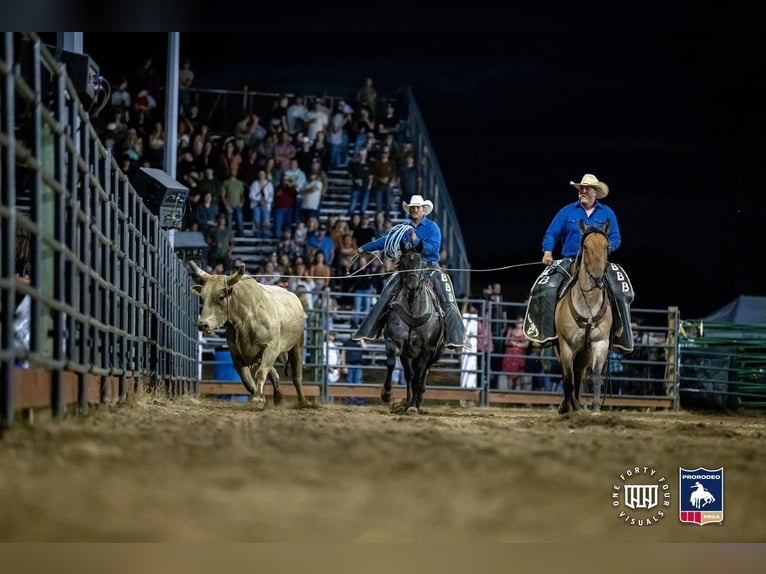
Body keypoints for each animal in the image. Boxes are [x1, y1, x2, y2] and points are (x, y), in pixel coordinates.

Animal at [382, 243, 448, 414]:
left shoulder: (426, 350)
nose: (412, 288)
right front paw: (386, 393)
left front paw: (412, 407)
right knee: (409, 375)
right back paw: (408, 400)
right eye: (403, 263)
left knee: (424, 373)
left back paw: (417, 401)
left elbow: (419, 377)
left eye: (421, 263)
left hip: (436, 353)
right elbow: (391, 363)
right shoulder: (394, 341)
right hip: (408, 355)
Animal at [556, 219, 616, 414]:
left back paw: (576, 404)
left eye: (606, 246)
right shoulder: (566, 345)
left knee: (579, 374)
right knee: (568, 375)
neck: (588, 304)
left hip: (584, 353)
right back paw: (568, 405)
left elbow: (595, 376)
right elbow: (568, 379)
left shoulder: (600, 343)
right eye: (585, 246)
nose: (597, 278)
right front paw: (565, 408)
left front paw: (596, 408)